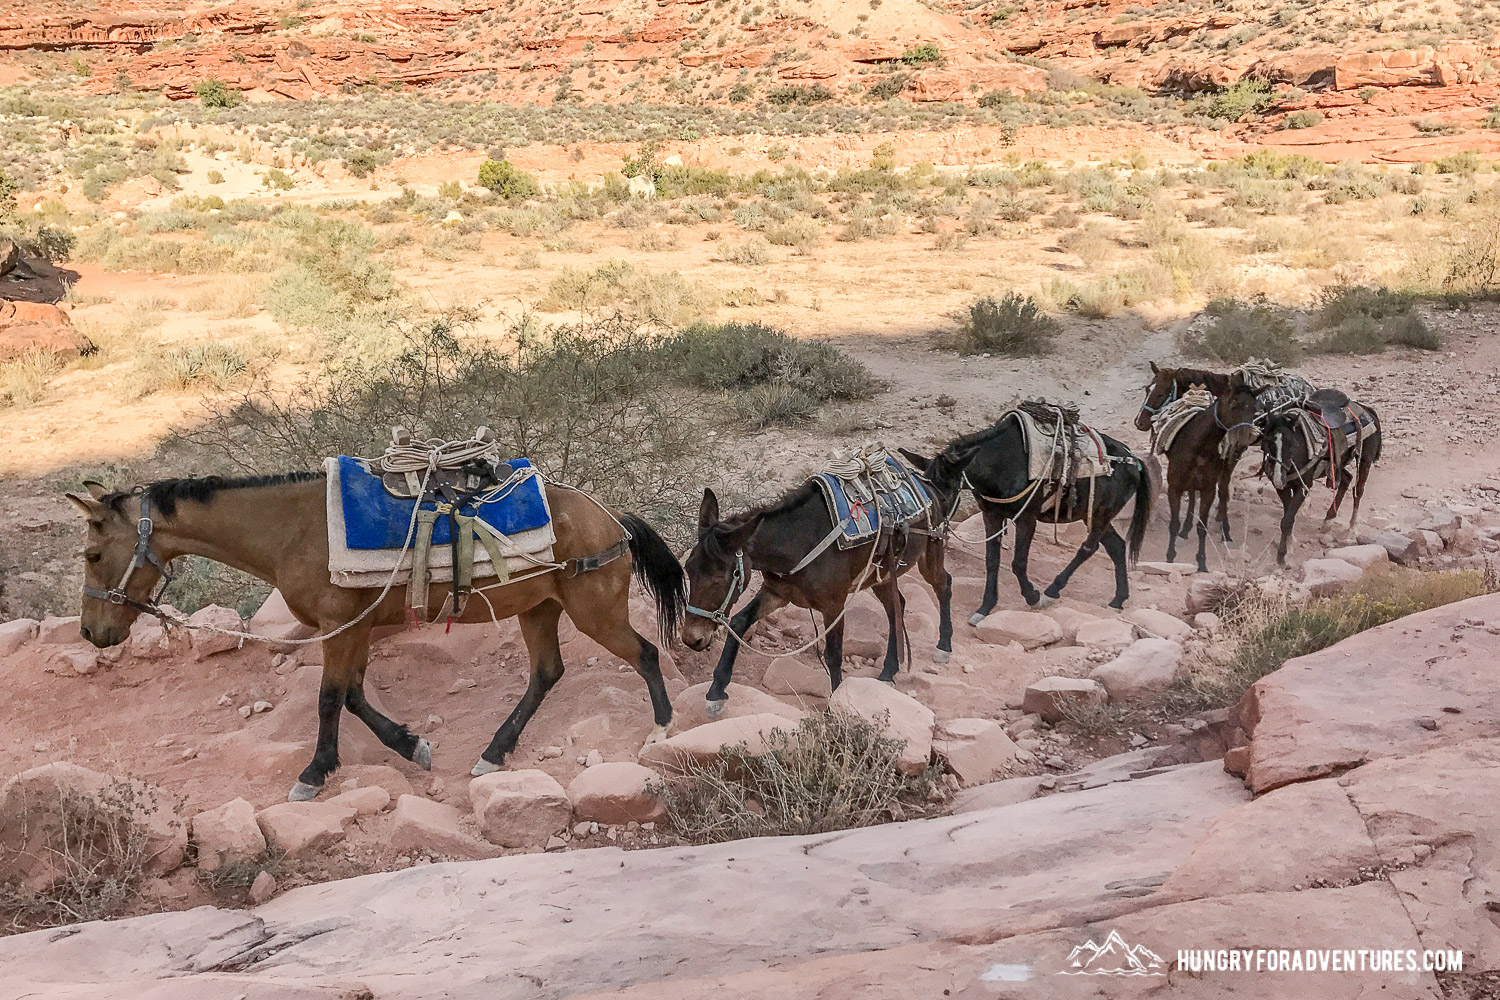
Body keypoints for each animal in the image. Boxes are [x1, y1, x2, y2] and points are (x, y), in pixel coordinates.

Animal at [66, 473, 687, 803]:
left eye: (93, 554)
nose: (92, 632)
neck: (292, 531)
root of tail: (613, 518)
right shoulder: (357, 628)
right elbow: (354, 696)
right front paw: (411, 745)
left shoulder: (339, 627)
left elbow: (329, 698)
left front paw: (314, 773)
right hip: (539, 609)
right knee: (546, 673)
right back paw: (494, 751)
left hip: (593, 611)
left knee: (644, 653)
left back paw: (661, 727)